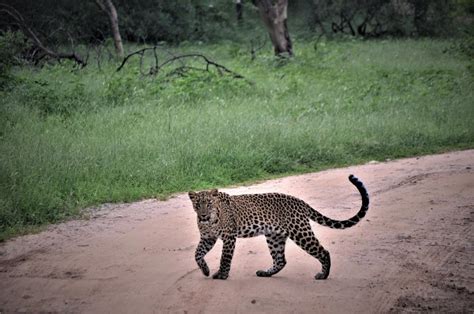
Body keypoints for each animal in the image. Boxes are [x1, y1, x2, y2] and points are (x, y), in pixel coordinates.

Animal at [189, 174, 370, 280]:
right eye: (198, 205)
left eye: (209, 204)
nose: (203, 215)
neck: (211, 221)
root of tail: (300, 201)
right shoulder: (208, 238)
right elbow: (197, 254)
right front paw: (205, 270)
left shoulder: (229, 237)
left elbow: (225, 257)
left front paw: (222, 274)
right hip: (274, 236)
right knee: (281, 260)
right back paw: (265, 273)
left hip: (300, 232)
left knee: (323, 252)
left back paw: (323, 275)